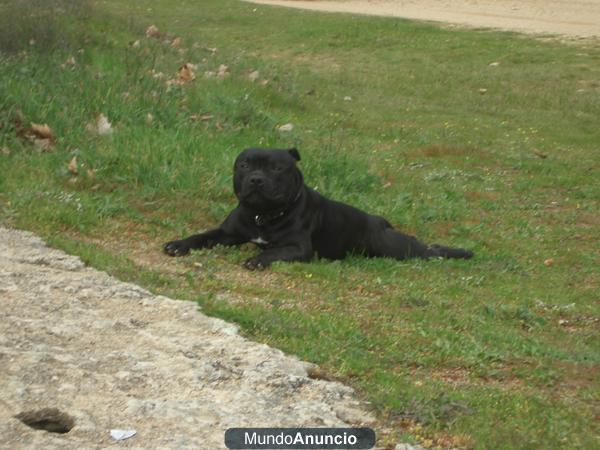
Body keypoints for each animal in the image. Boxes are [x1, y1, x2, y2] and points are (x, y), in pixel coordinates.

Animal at [165, 148, 474, 268]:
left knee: (426, 250)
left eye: (277, 168)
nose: (256, 179)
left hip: (397, 248)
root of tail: (378, 220)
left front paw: (258, 260)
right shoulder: (228, 233)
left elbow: (274, 251)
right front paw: (179, 244)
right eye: (244, 165)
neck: (263, 216)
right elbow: (201, 236)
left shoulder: (298, 248)